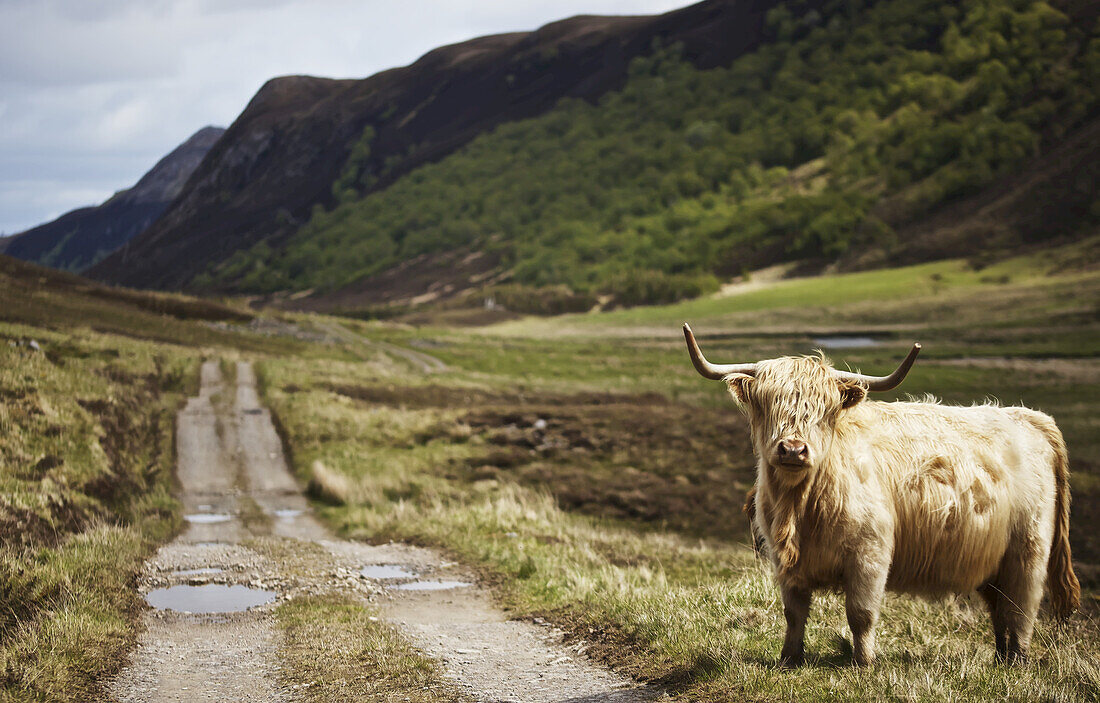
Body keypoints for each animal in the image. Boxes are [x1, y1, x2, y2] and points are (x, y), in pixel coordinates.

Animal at [682, 325, 1078, 664]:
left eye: (824, 410)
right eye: (767, 403)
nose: (793, 450)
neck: (801, 507)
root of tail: (1030, 417)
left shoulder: (870, 554)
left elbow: (861, 613)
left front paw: (864, 662)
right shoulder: (786, 563)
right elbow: (794, 613)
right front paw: (789, 659)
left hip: (1028, 550)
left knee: (1022, 609)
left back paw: (1018, 660)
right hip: (993, 558)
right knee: (1000, 609)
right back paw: (999, 659)